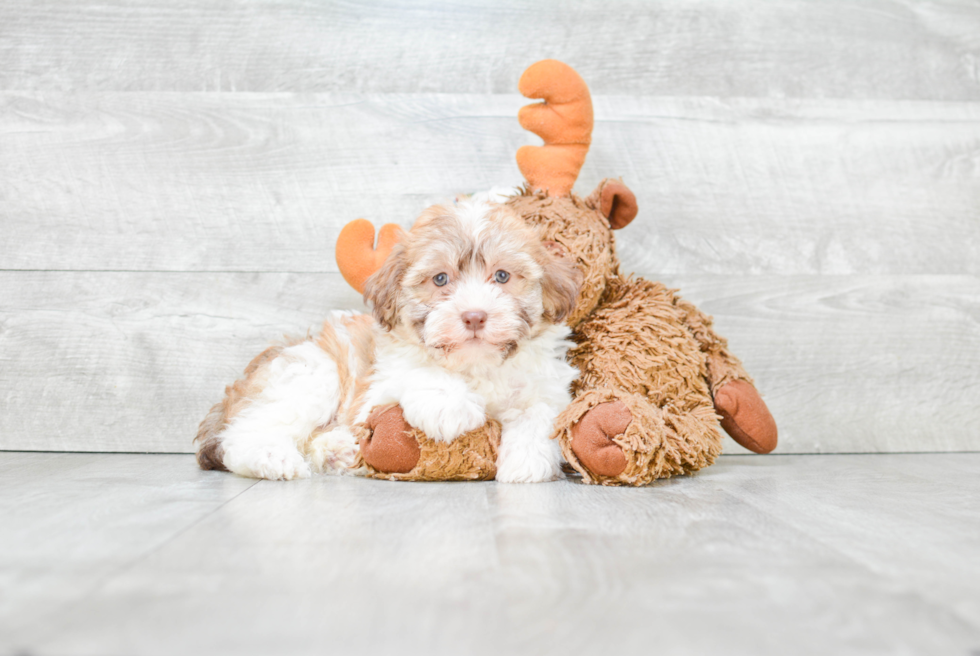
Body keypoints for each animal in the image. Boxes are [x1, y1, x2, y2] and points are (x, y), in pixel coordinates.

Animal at [196, 192, 584, 484]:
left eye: (502, 276)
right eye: (440, 279)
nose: (474, 315)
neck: (476, 366)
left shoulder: (545, 383)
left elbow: (540, 412)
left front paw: (526, 462)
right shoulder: (378, 386)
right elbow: (418, 372)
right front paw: (450, 406)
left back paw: (339, 450)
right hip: (311, 373)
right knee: (246, 432)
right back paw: (273, 457)